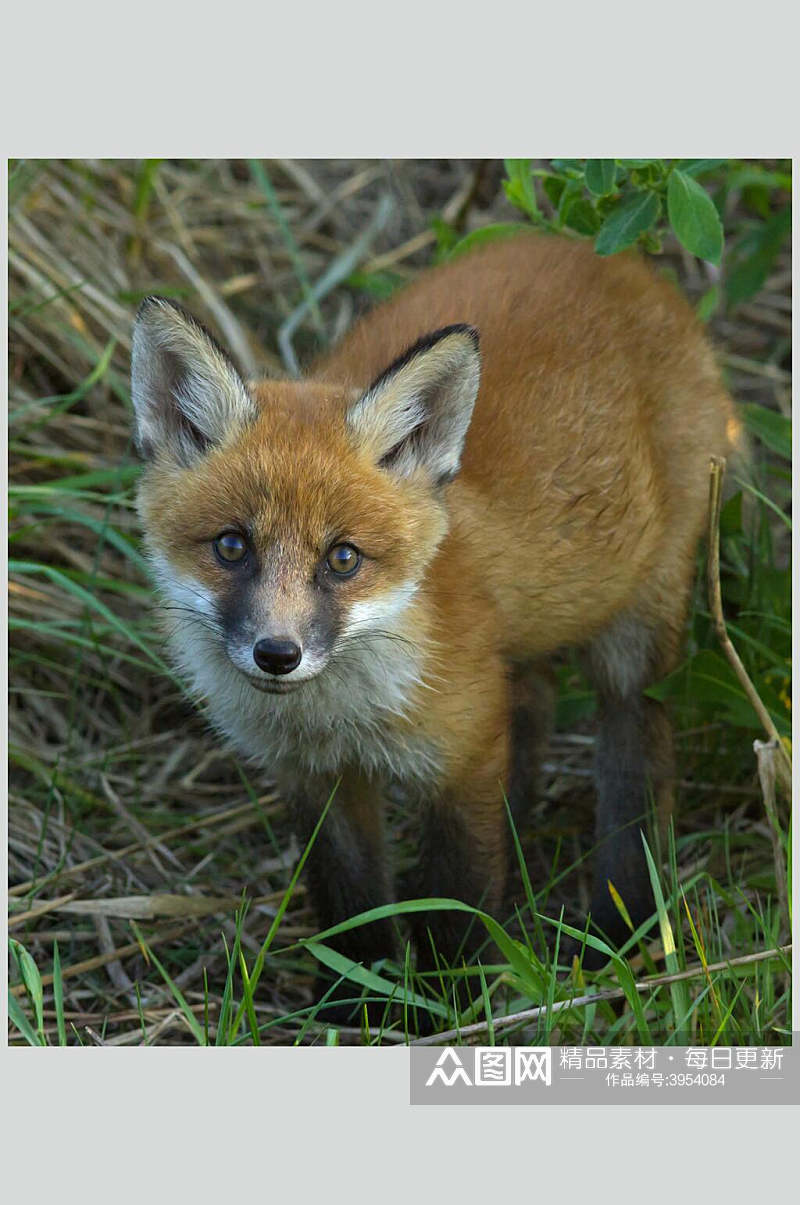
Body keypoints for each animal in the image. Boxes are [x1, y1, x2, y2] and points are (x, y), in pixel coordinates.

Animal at [132, 230, 742, 1012]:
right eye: (232, 547)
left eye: (343, 558)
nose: (277, 652)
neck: (341, 717)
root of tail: (614, 261)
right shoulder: (314, 779)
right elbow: (352, 905)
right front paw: (355, 1006)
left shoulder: (464, 753)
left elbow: (455, 902)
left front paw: (451, 1006)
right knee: (534, 707)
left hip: (638, 630)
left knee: (637, 762)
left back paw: (622, 925)